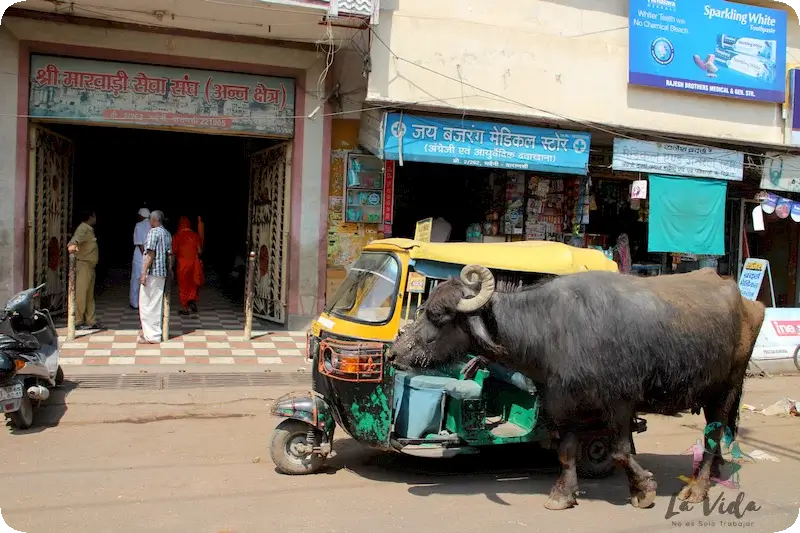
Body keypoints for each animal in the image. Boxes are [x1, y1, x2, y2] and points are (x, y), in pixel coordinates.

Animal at [390, 264, 764, 510]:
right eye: (423, 308)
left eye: (438, 316)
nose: (394, 353)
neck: (551, 331)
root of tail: (747, 302)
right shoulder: (563, 403)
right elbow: (566, 451)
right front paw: (562, 494)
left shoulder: (620, 402)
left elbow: (620, 451)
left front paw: (643, 490)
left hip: (726, 388)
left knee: (714, 435)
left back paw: (697, 490)